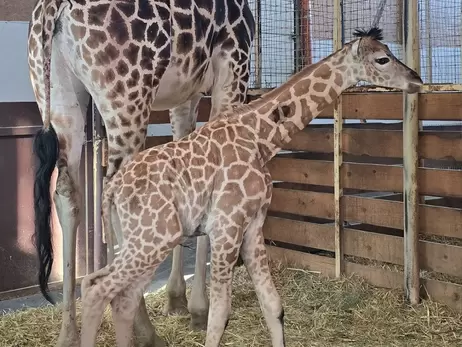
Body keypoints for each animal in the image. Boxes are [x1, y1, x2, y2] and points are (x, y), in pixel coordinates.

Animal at [28, 0, 256, 346]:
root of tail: (53, 8)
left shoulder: (187, 92)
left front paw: (178, 299)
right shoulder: (234, 65)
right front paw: (200, 309)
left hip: (61, 99)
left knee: (68, 194)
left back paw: (68, 333)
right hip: (128, 99)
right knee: (117, 191)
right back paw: (143, 329)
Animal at [78, 26, 422, 347]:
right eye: (382, 59)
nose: (417, 80)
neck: (259, 138)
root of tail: (111, 190)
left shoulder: (254, 225)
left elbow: (273, 306)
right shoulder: (226, 226)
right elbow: (219, 315)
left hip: (142, 240)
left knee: (120, 298)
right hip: (154, 238)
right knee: (96, 288)